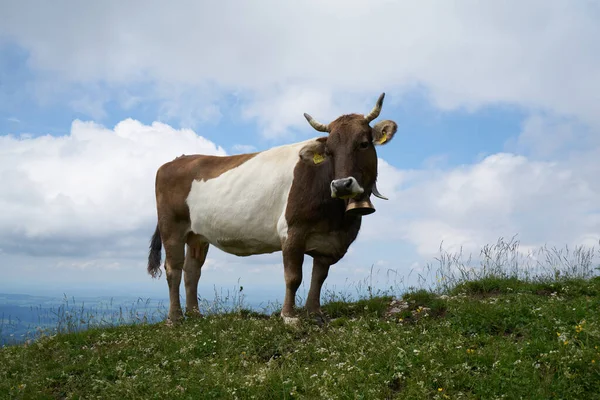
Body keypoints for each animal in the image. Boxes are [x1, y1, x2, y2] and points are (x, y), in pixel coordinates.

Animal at [146, 93, 398, 324]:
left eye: (363, 144)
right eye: (329, 152)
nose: (341, 184)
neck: (338, 221)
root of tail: (177, 160)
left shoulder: (330, 242)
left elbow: (319, 277)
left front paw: (314, 313)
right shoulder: (292, 231)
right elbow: (293, 277)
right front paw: (289, 316)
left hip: (197, 234)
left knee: (192, 271)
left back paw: (195, 315)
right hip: (172, 227)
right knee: (174, 268)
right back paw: (175, 318)